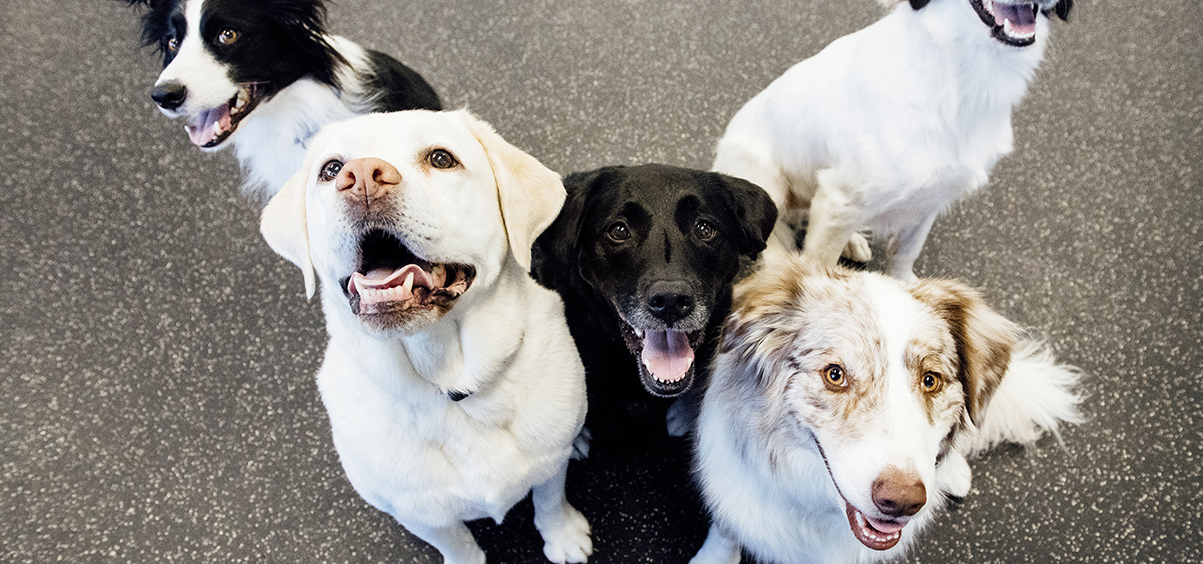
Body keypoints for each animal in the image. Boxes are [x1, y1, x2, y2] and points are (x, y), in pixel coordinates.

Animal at [260, 110, 592, 564]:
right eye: (330, 169)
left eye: (441, 158)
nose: (362, 175)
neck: (452, 382)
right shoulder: (418, 512)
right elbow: (457, 544)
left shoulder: (550, 462)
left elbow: (549, 498)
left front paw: (562, 536)